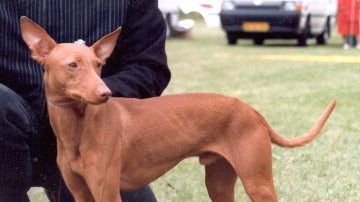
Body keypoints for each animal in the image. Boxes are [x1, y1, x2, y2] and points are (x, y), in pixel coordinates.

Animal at [19, 16, 334, 202]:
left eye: (98, 65)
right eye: (73, 65)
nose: (105, 93)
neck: (77, 128)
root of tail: (250, 109)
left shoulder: (107, 192)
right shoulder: (81, 193)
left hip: (258, 183)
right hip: (219, 183)